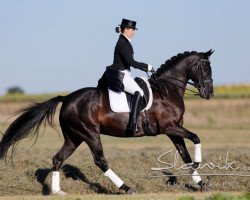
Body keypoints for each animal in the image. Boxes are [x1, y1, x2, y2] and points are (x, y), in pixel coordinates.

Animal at [0, 49, 215, 194]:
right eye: (206, 66)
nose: (209, 93)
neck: (167, 91)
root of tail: (67, 98)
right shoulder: (170, 127)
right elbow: (196, 138)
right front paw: (199, 163)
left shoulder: (173, 130)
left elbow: (185, 154)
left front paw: (201, 183)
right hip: (89, 133)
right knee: (100, 160)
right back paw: (126, 187)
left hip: (74, 137)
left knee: (58, 159)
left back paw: (57, 191)